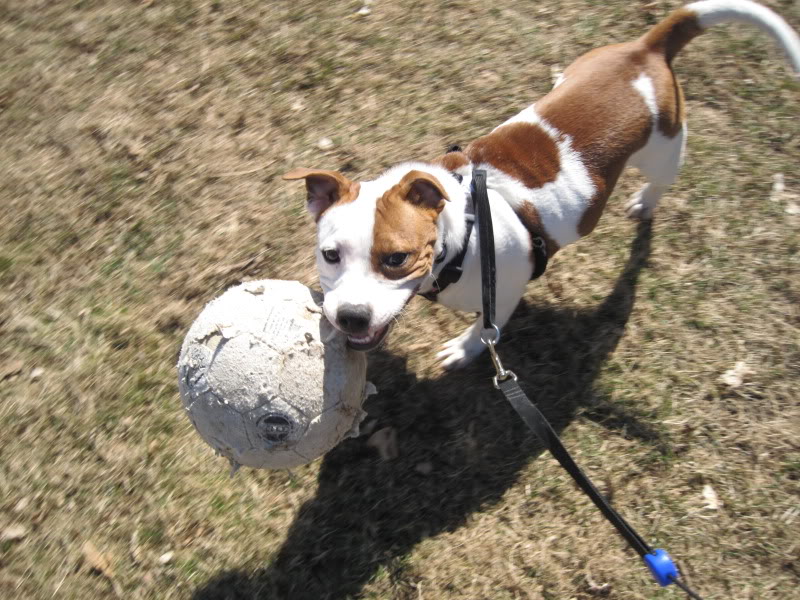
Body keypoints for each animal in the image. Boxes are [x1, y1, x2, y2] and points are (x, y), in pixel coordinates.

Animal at [284, 1, 796, 370]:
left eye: (396, 259)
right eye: (329, 255)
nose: (350, 317)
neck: (465, 233)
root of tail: (646, 50)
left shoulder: (504, 292)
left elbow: (487, 330)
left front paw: (465, 349)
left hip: (666, 150)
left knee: (661, 181)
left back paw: (645, 202)